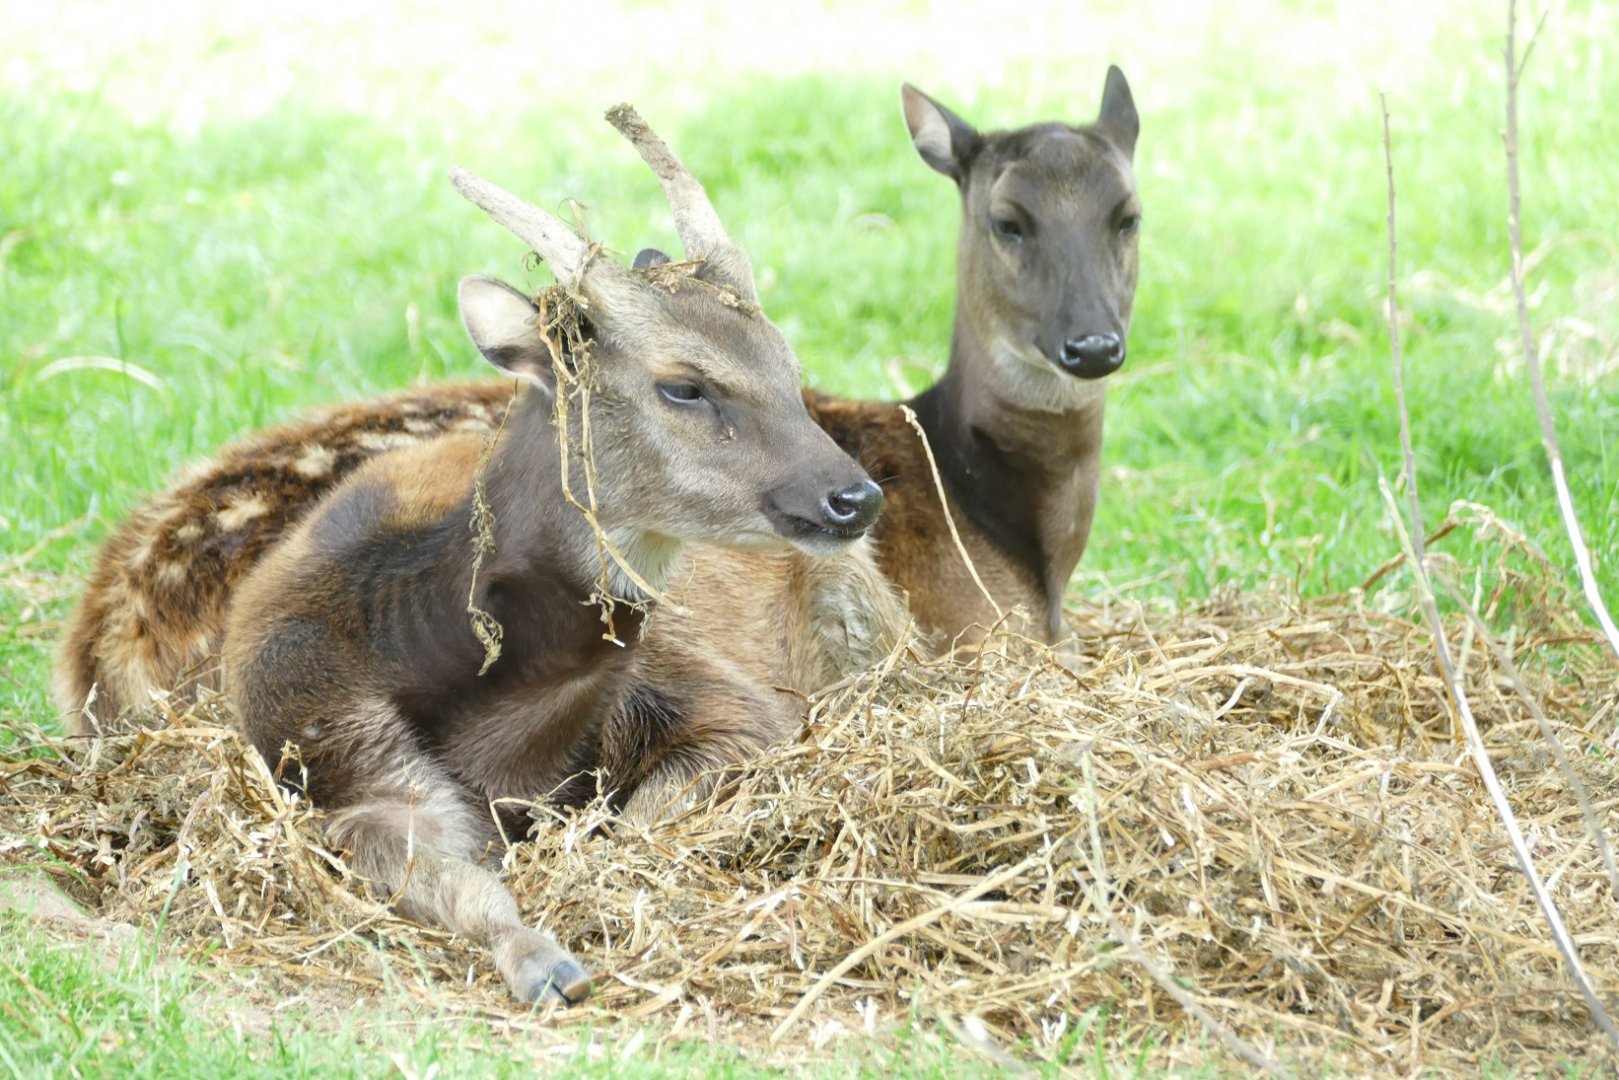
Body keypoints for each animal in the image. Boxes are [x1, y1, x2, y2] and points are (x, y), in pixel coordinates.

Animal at [109, 107, 898, 1005]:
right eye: (683, 384)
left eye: (789, 367)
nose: (854, 497)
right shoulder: (331, 761)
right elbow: (456, 881)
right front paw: (547, 963)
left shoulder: (737, 709)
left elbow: (639, 821)